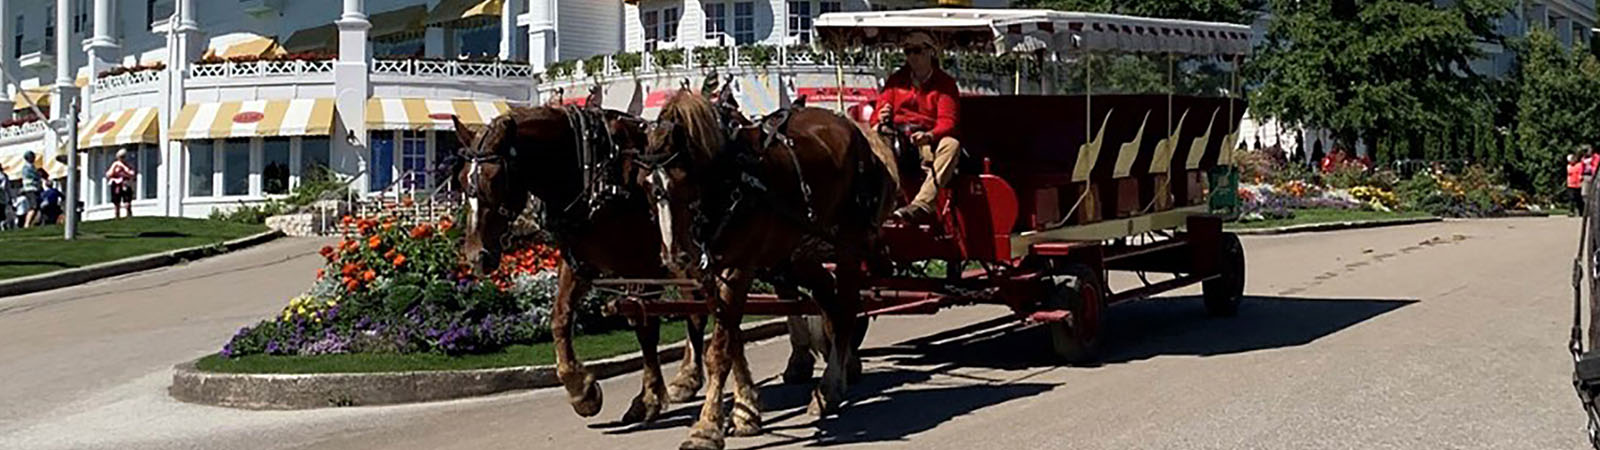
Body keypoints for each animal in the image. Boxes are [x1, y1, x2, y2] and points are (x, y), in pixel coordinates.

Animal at [454, 106, 704, 422]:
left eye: (496, 178)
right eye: (462, 179)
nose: (477, 255)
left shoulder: (642, 266)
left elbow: (645, 327)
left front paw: (647, 398)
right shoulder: (578, 264)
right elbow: (560, 317)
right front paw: (581, 391)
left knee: (696, 309)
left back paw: (689, 377)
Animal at [640, 92, 902, 448]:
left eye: (683, 181)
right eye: (646, 186)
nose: (675, 256)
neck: (729, 181)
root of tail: (856, 130)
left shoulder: (739, 268)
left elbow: (719, 351)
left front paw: (706, 428)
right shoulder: (711, 274)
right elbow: (731, 339)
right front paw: (745, 412)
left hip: (847, 241)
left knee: (847, 307)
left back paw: (829, 386)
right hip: (800, 250)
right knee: (830, 303)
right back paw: (835, 381)